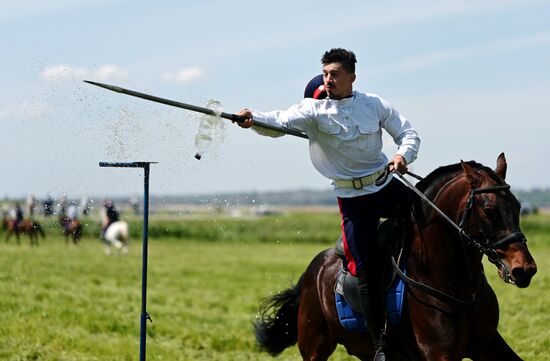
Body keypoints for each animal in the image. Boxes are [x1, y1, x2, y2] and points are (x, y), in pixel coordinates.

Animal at [258, 153, 540, 360]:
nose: (524, 269)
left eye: (517, 206)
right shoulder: (441, 354)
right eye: (489, 210)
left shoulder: (488, 344)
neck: (460, 290)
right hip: (315, 347)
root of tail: (311, 272)